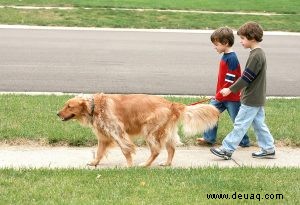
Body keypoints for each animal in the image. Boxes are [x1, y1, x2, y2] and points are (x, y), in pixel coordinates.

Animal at [57, 93, 219, 167]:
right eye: (65, 105)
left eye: (69, 106)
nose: (57, 114)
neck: (95, 106)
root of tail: (171, 104)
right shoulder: (104, 137)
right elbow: (99, 151)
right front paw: (95, 162)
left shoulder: (118, 133)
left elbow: (125, 150)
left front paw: (129, 165)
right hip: (165, 133)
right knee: (171, 149)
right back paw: (166, 163)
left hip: (150, 131)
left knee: (156, 151)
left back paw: (145, 165)